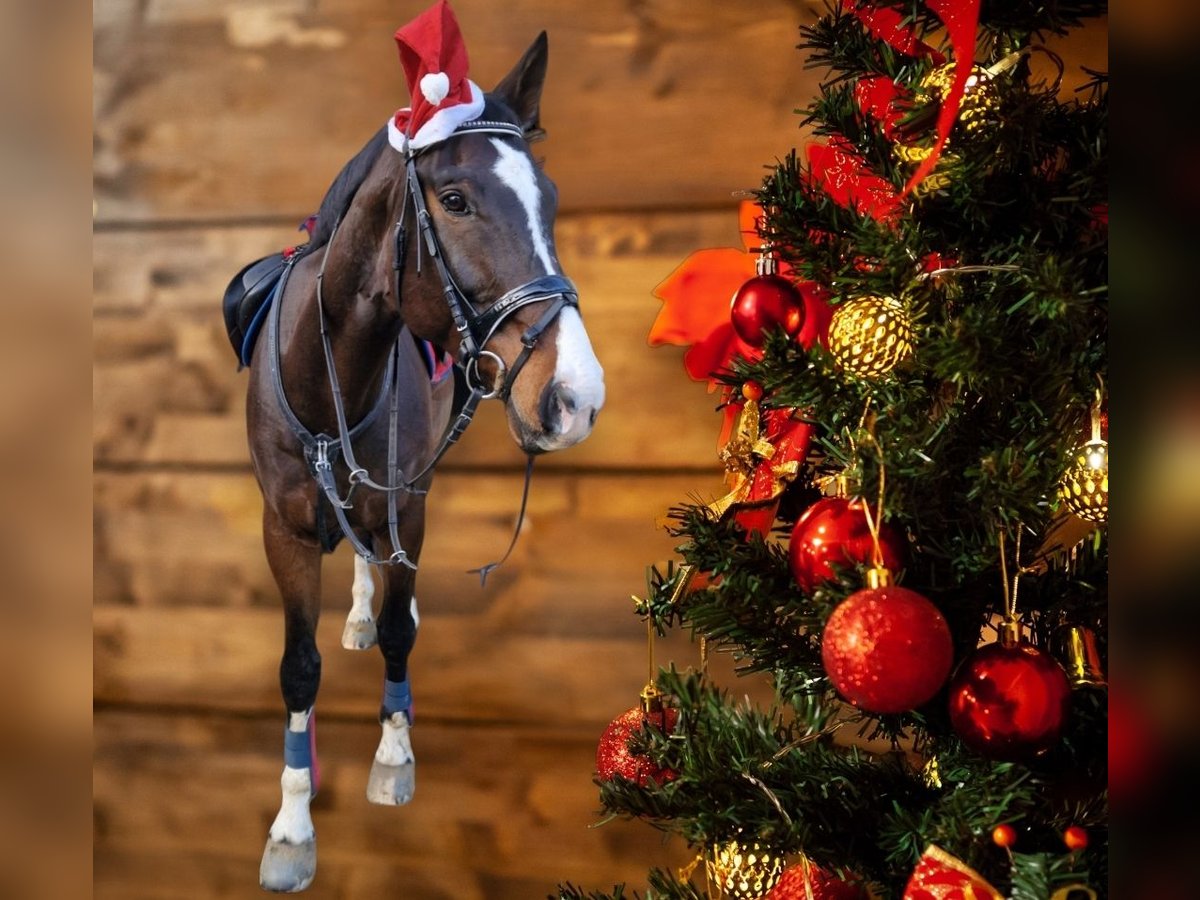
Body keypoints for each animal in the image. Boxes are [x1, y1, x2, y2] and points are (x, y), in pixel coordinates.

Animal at [238, 30, 604, 897]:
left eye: (550, 198)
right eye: (457, 200)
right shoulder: (283, 529)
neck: (331, 373)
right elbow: (298, 669)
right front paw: (292, 830)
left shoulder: (410, 501)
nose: (576, 396)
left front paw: (394, 757)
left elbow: (402, 631)